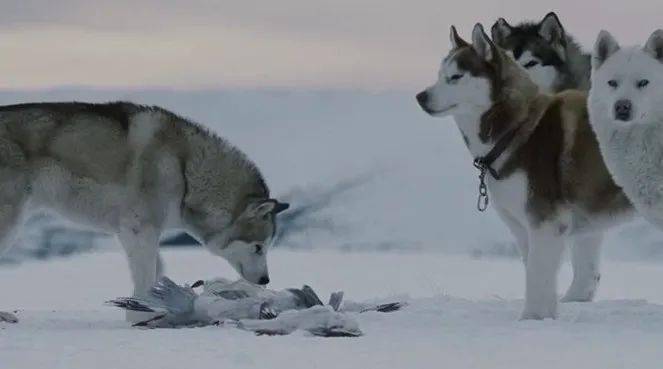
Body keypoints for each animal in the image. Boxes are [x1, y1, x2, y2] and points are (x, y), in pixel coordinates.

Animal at [0, 101, 288, 322]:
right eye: (258, 247)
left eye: (267, 246)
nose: (265, 280)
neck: (187, 171)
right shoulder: (140, 229)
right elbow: (147, 274)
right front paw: (142, 314)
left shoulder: (133, 232)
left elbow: (157, 269)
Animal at [418, 23, 636, 316]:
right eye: (440, 75)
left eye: (455, 77)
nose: (420, 96)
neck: (516, 128)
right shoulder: (525, 228)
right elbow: (536, 275)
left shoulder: (546, 222)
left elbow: (537, 275)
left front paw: (533, 319)